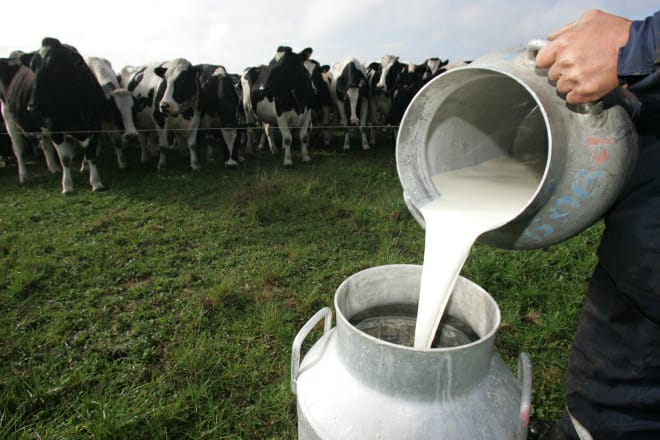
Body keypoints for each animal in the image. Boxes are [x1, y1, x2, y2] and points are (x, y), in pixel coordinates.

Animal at [0, 38, 105, 193]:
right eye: (33, 69)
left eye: (54, 68)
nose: (32, 107)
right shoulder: (55, 128)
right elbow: (65, 159)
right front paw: (67, 186)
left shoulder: (95, 124)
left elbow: (91, 155)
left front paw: (96, 183)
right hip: (9, 118)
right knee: (18, 149)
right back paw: (23, 176)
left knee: (44, 144)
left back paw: (53, 168)